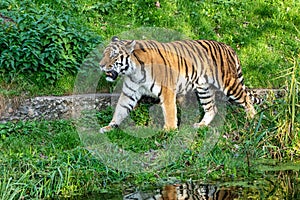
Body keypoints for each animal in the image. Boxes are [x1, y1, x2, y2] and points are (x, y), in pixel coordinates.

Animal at [99, 36, 260, 133]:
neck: (133, 72)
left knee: (246, 99)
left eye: (113, 55)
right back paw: (201, 125)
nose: (101, 65)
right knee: (212, 108)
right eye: (104, 54)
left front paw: (168, 131)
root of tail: (228, 47)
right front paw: (109, 127)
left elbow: (170, 112)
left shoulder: (167, 90)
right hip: (204, 89)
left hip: (229, 84)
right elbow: (120, 109)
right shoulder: (129, 93)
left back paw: (252, 119)